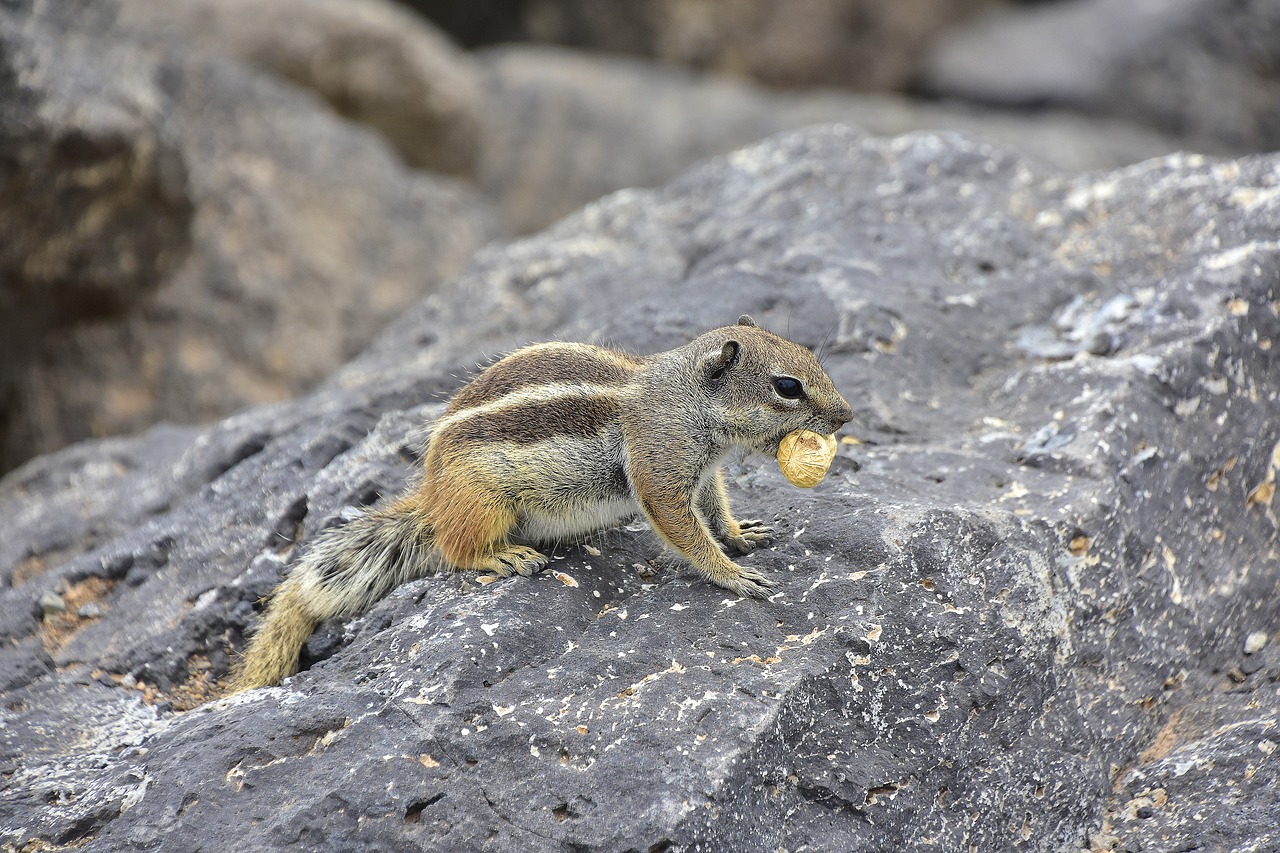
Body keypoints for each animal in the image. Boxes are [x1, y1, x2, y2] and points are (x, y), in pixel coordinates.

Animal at [232, 315, 849, 686]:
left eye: (810, 353)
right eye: (787, 386)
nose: (847, 417)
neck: (685, 397)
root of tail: (431, 496)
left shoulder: (703, 475)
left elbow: (715, 510)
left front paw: (742, 536)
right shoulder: (659, 468)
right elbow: (682, 529)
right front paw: (731, 574)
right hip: (484, 501)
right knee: (454, 548)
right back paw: (502, 556)